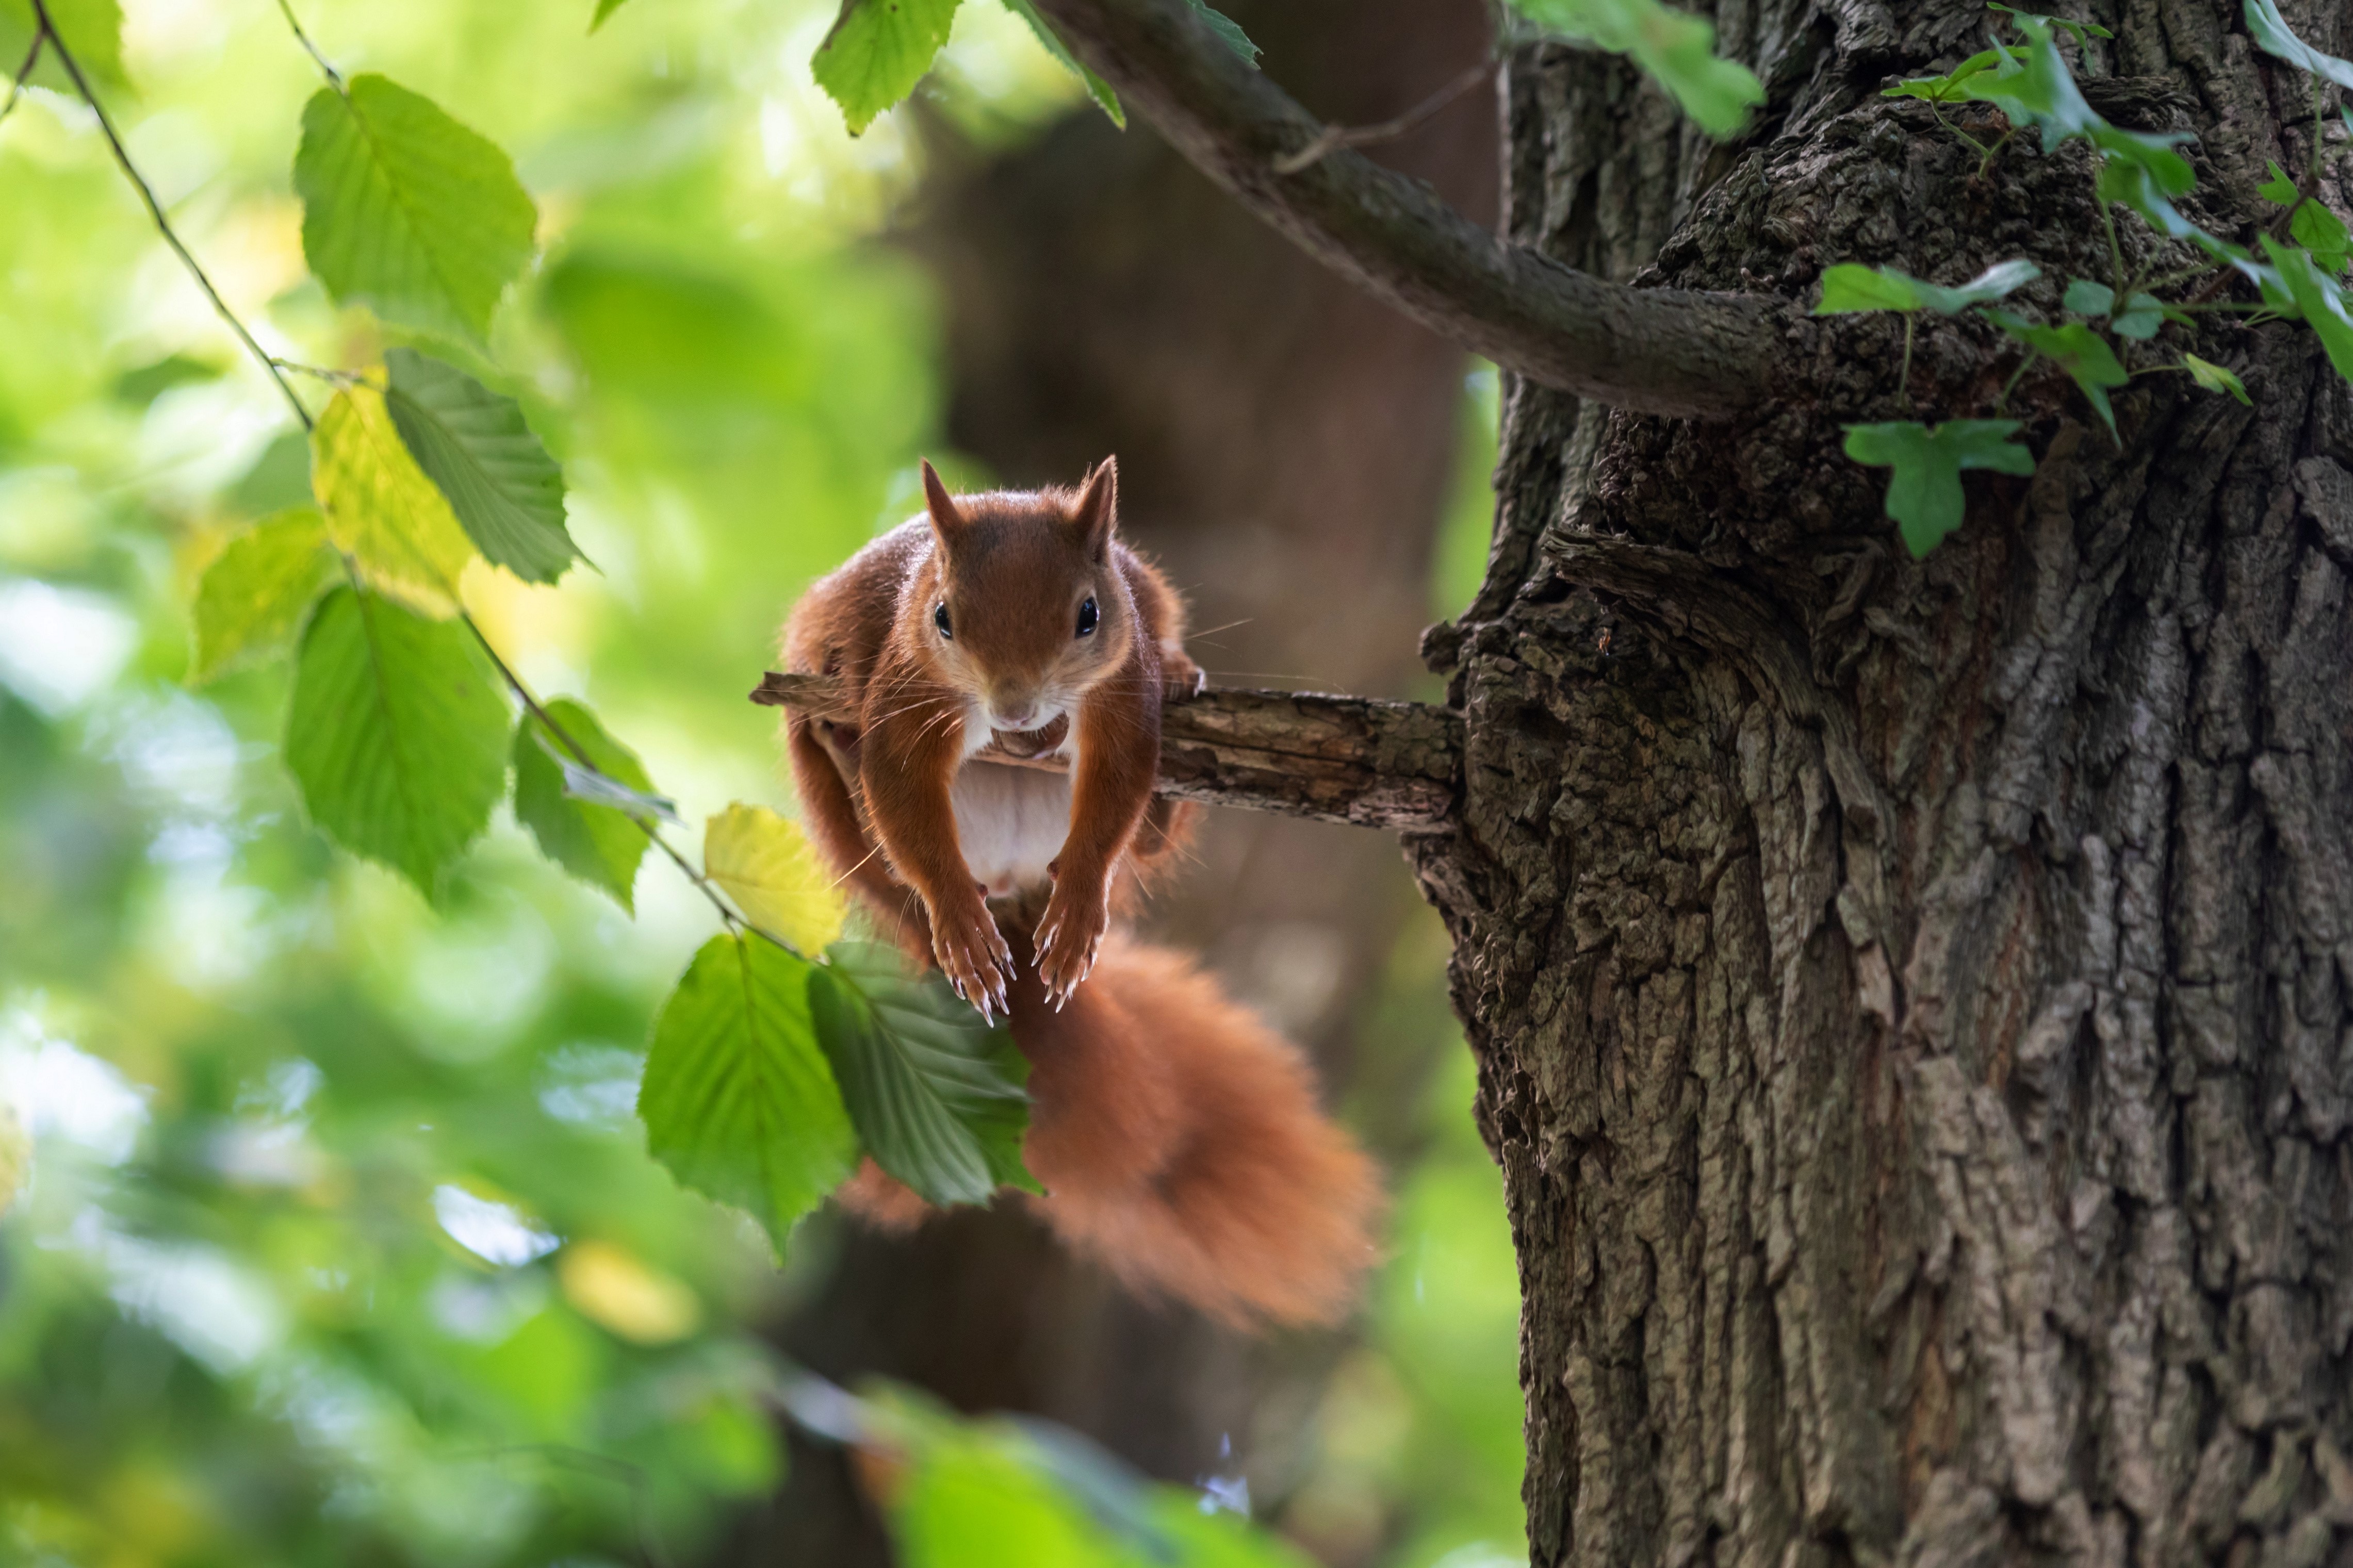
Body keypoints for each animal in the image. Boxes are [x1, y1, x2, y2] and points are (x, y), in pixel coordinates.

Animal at [779, 457, 1382, 1328]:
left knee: (1150, 826)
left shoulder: (1125, 692)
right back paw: (844, 752)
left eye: (1088, 615)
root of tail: (1012, 902)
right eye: (943, 618)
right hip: (839, 813)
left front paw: (1081, 908)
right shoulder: (904, 689)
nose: (1016, 708)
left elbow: (1119, 783)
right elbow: (900, 790)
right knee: (870, 815)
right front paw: (956, 917)